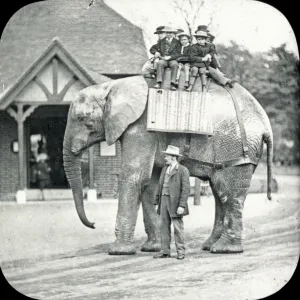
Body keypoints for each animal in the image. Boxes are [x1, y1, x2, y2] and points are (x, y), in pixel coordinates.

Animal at [62, 75, 272, 255]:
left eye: (84, 120)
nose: (94, 224)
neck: (112, 86)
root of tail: (265, 123)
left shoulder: (140, 128)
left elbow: (135, 178)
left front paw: (118, 251)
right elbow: (150, 184)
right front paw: (152, 248)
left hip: (234, 148)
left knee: (229, 193)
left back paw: (225, 249)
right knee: (219, 192)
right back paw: (210, 246)